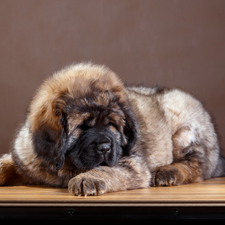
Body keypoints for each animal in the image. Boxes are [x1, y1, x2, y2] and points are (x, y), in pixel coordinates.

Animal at [0, 62, 225, 195]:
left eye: (112, 125)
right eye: (82, 126)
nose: (105, 147)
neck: (63, 165)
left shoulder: (131, 162)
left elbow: (106, 169)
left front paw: (87, 178)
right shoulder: (24, 158)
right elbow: (6, 162)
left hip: (182, 125)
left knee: (196, 165)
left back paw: (167, 172)